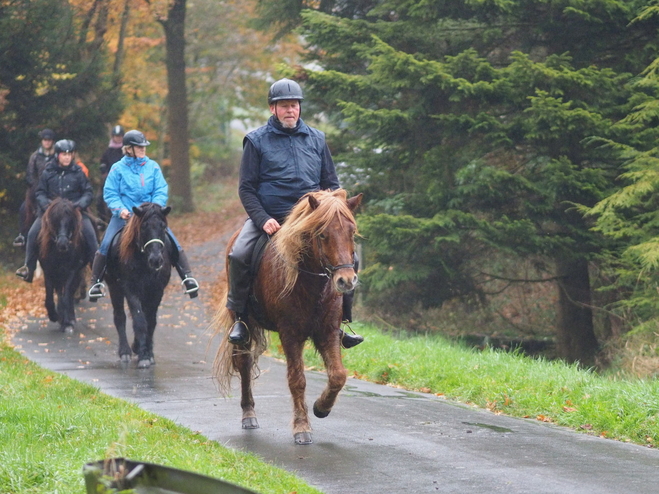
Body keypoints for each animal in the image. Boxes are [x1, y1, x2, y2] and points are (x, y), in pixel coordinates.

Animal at [38, 197, 89, 332]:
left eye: (70, 220)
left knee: (69, 294)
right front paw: (54, 316)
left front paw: (67, 322)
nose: (62, 244)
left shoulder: (72, 270)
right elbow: (50, 298)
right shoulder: (49, 271)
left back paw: (69, 319)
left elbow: (66, 296)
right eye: (55, 220)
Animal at [105, 201, 173, 366]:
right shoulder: (130, 289)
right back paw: (125, 352)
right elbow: (139, 320)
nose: (156, 260)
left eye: (163, 226)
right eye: (144, 226)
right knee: (120, 317)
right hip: (114, 287)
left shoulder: (156, 291)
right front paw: (143, 356)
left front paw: (148, 352)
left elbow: (150, 321)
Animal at [214, 188, 364, 444]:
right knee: (244, 363)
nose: (346, 280)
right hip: (242, 325)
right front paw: (302, 427)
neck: (312, 284)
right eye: (322, 234)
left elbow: (338, 375)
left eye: (351, 232)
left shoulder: (328, 331)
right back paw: (248, 414)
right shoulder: (290, 334)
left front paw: (321, 408)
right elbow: (297, 380)